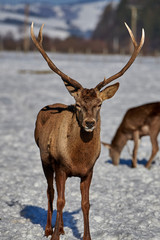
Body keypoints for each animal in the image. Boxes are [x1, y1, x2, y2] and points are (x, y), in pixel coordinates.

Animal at [30, 21, 144, 239]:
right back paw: (49, 229)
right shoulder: (60, 166)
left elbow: (85, 203)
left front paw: (86, 235)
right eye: (78, 104)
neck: (78, 158)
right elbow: (61, 200)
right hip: (44, 159)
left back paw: (62, 227)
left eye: (99, 104)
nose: (90, 123)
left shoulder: (89, 171)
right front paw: (55, 235)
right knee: (50, 192)